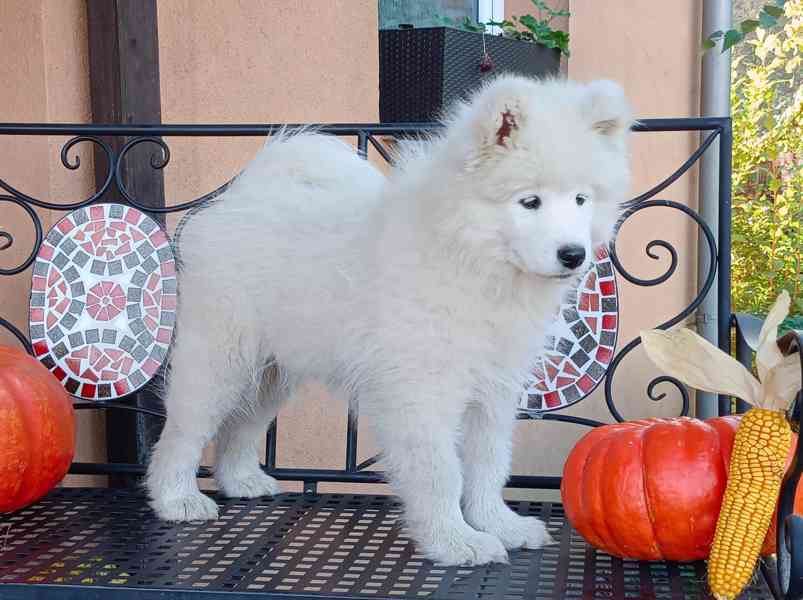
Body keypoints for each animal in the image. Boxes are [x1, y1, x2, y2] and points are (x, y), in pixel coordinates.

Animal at [146, 76, 636, 568]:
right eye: (530, 201)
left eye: (581, 199)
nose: (573, 254)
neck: (471, 260)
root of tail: (237, 198)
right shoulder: (420, 391)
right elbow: (442, 472)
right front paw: (455, 541)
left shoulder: (493, 389)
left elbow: (489, 464)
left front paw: (499, 524)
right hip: (219, 357)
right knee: (184, 431)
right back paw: (176, 499)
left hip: (273, 371)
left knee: (242, 425)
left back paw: (243, 481)